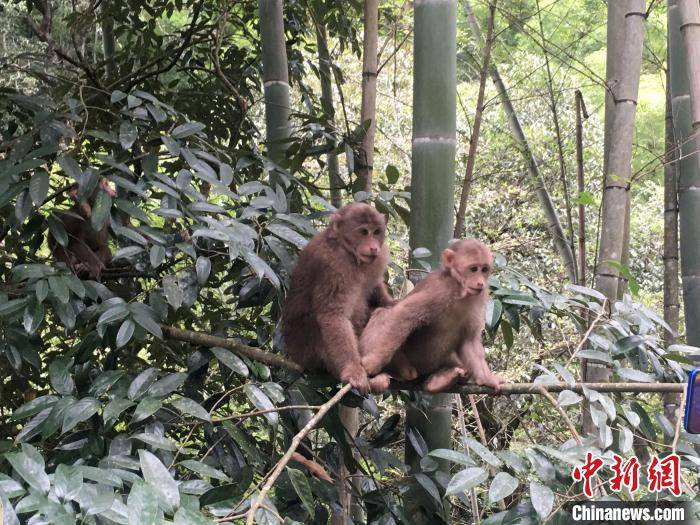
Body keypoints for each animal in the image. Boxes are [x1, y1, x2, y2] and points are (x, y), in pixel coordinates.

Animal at [282, 203, 396, 390]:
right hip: (303, 350)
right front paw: (353, 370)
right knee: (316, 323)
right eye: (364, 232)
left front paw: (391, 303)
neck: (348, 251)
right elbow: (333, 315)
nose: (373, 247)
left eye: (377, 232)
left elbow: (374, 287)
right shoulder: (333, 266)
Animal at [360, 239, 504, 390]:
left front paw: (487, 379)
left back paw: (441, 380)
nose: (480, 282)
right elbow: (403, 315)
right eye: (473, 269)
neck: (459, 291)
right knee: (383, 313)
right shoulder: (438, 291)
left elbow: (469, 339)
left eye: (484, 269)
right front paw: (373, 362)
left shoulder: (480, 297)